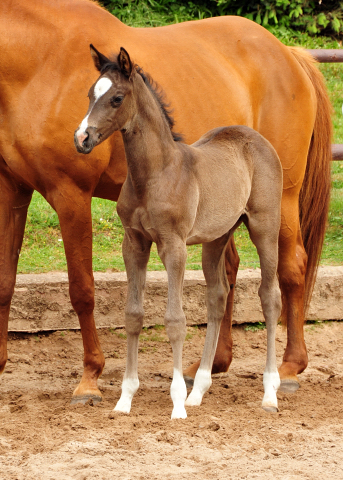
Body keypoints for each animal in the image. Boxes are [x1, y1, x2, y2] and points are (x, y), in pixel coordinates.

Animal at [74, 46, 282, 420]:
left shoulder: (174, 246)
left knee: (269, 297)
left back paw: (270, 393)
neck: (154, 174)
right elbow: (133, 315)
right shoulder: (134, 243)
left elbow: (175, 320)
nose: (82, 138)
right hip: (216, 237)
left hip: (265, 227)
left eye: (116, 98)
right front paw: (125, 399)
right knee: (218, 295)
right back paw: (198, 391)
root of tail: (256, 138)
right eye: (90, 94)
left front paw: (175, 404)